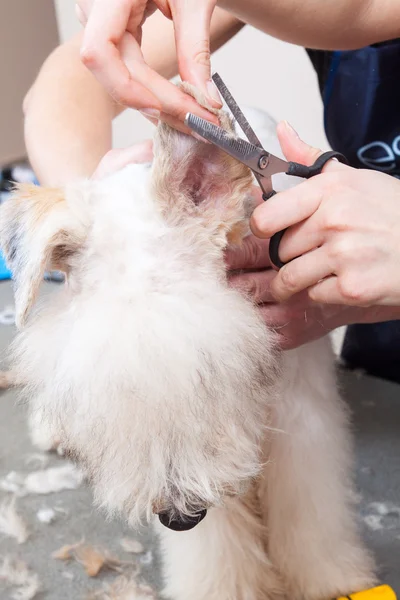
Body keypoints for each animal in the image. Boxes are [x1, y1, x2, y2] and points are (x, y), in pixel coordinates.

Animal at [0, 86, 376, 596]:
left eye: (212, 369)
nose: (179, 516)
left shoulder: (302, 411)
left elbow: (312, 511)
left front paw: (329, 579)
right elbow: (217, 551)